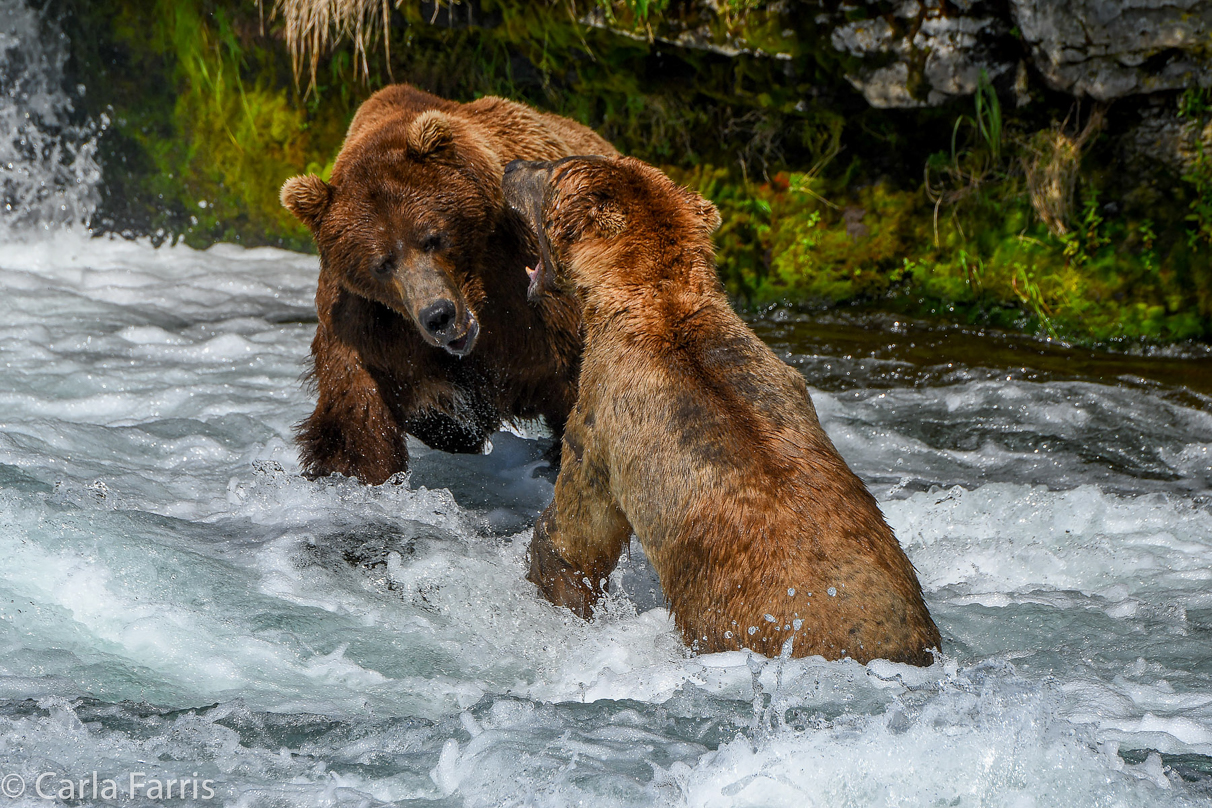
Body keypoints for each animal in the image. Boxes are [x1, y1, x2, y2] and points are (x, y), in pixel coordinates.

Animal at [277, 85, 615, 484]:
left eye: (432, 238)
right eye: (382, 264)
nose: (438, 315)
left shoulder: (533, 296)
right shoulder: (364, 324)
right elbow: (355, 424)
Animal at [501, 155, 945, 668]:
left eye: (547, 172)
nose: (511, 167)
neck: (655, 303)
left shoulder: (600, 415)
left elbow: (577, 535)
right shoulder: (779, 375)